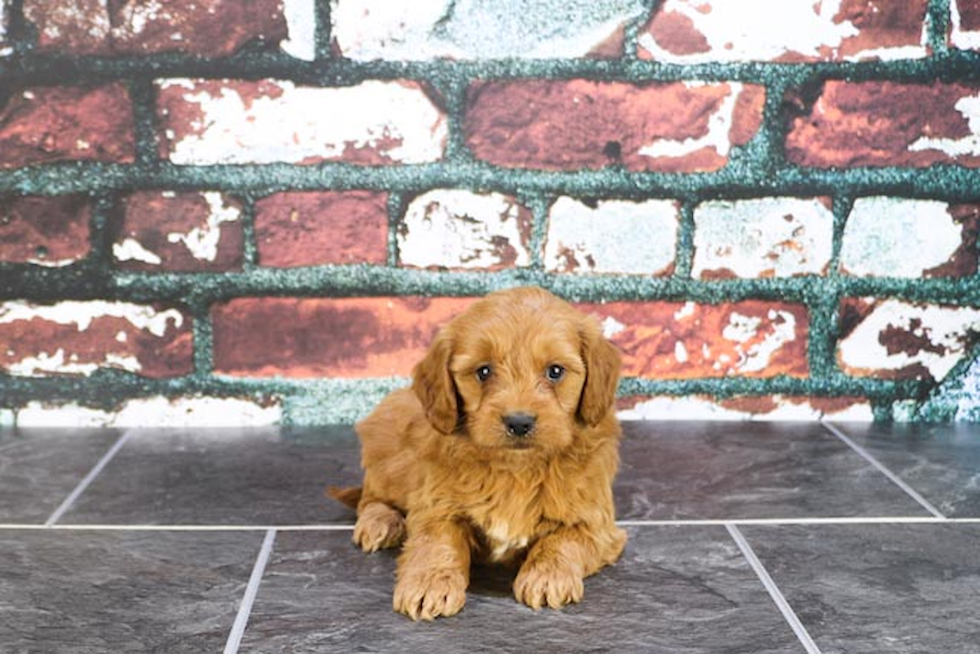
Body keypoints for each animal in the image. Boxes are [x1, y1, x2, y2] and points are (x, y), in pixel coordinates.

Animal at [334, 286, 624, 620]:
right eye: (483, 372)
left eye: (555, 371)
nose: (519, 422)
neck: (517, 468)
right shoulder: (436, 505)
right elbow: (437, 542)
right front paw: (428, 584)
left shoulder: (598, 524)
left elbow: (564, 539)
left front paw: (548, 576)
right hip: (390, 456)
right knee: (369, 497)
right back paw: (380, 522)